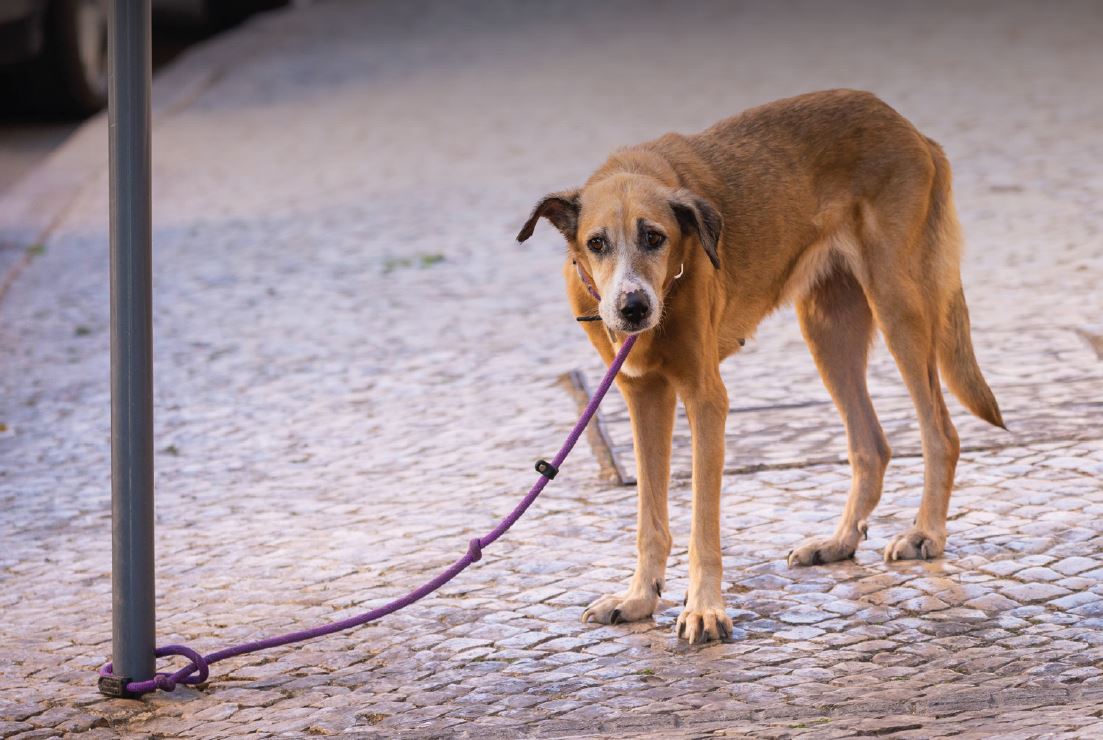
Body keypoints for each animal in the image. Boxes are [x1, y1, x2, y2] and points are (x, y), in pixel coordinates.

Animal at [511, 88, 1005, 644]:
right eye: (597, 243)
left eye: (655, 237)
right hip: (828, 330)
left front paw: (704, 609)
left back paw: (925, 533)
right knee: (871, 446)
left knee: (940, 432)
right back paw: (838, 542)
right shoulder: (644, 396)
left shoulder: (705, 400)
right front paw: (640, 598)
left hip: (899, 308)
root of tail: (910, 129)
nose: (633, 308)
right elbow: (649, 519)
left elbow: (703, 524)